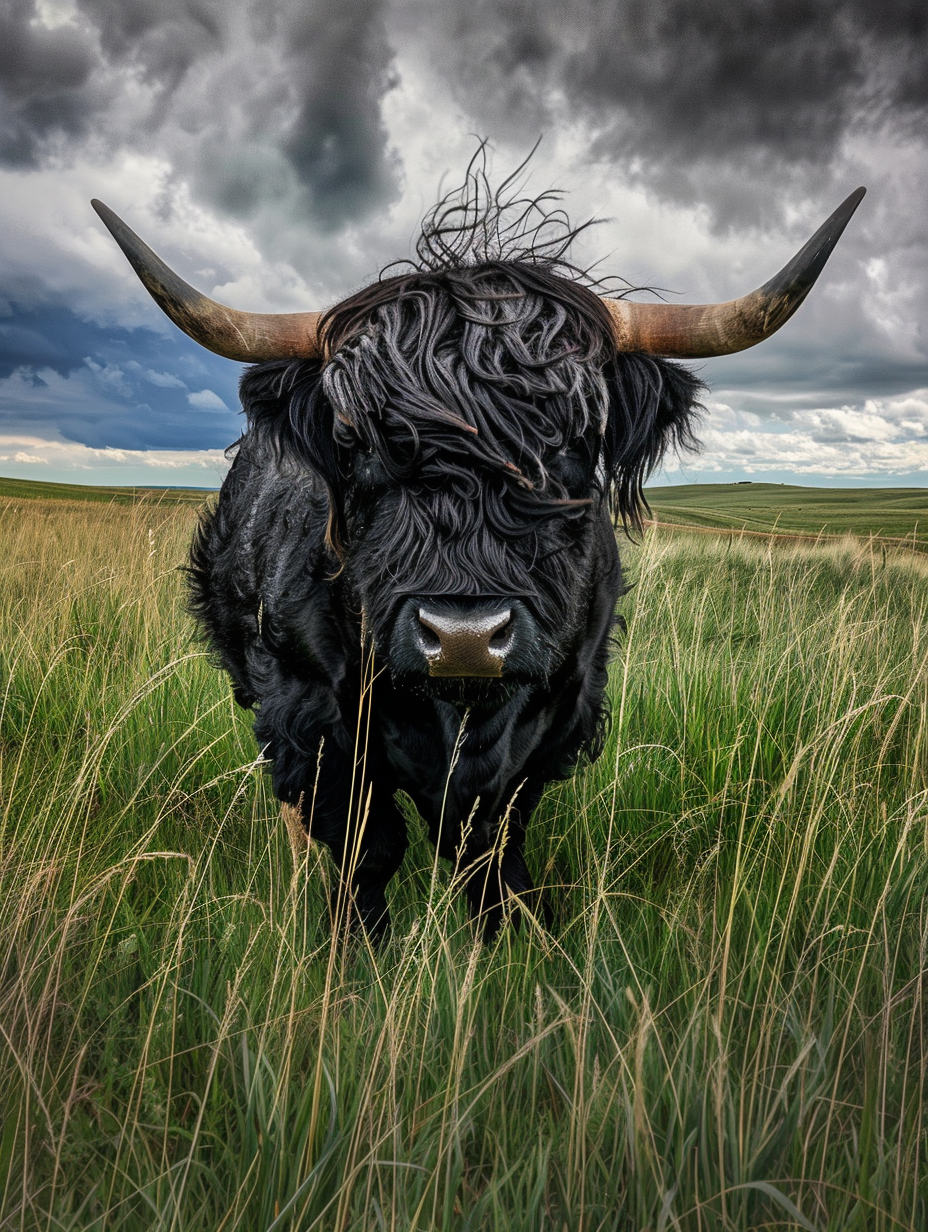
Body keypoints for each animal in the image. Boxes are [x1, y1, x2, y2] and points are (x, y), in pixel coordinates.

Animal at [92, 173, 864, 940]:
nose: (464, 637)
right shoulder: (310, 710)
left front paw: (512, 937)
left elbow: (492, 844)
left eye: (573, 442)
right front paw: (354, 946)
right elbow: (367, 844)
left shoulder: (558, 710)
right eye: (358, 442)